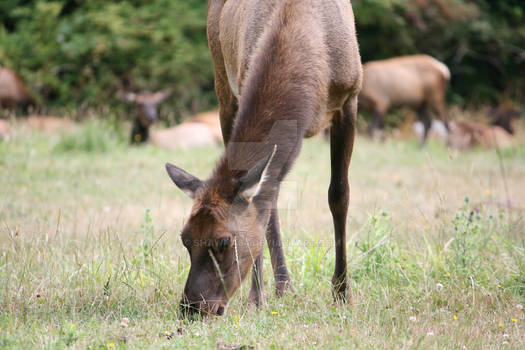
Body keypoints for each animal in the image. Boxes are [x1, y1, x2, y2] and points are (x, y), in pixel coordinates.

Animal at [166, 0, 362, 318]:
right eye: (185, 238)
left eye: (224, 240)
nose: (192, 307)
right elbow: (264, 209)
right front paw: (256, 300)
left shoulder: (350, 96)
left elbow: (339, 196)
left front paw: (343, 293)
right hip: (223, 86)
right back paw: (281, 285)